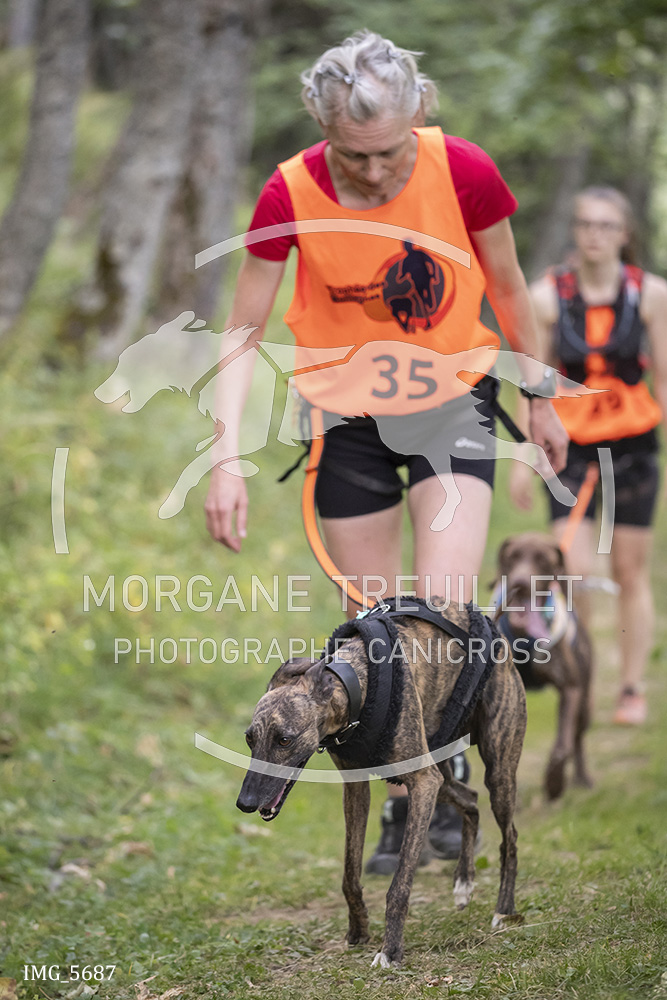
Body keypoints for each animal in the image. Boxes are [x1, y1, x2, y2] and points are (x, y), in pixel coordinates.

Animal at [236, 600, 526, 967]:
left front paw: (391, 950)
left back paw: (504, 910)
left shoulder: (422, 782)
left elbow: (399, 885)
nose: (245, 802)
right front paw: (358, 930)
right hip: (442, 775)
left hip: (496, 769)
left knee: (509, 836)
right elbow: (350, 874)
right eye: (249, 739)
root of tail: (493, 626)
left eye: (284, 740)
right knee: (471, 800)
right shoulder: (356, 788)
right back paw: (463, 883)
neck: (355, 683)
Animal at [495, 533, 594, 800]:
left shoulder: (571, 689)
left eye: (542, 559)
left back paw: (582, 777)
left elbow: (562, 747)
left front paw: (554, 783)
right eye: (513, 556)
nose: (520, 583)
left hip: (585, 702)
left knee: (577, 738)